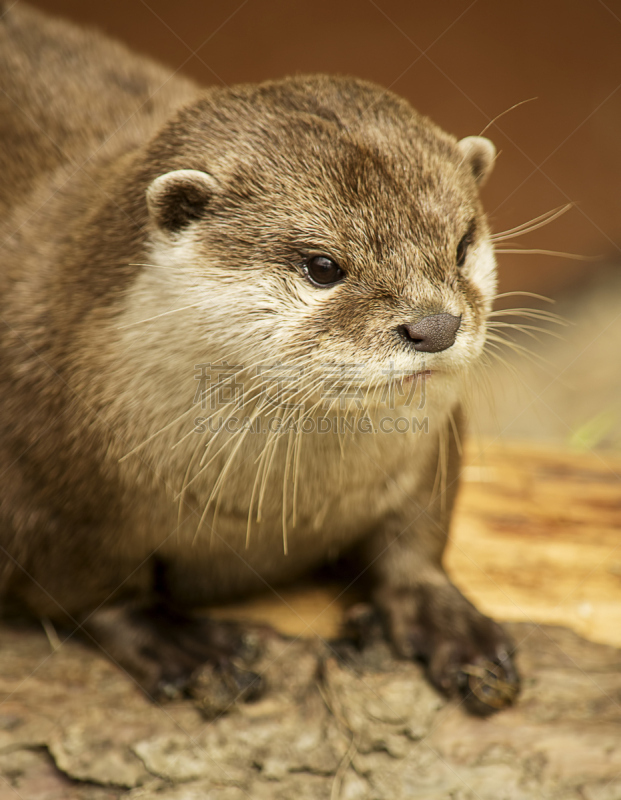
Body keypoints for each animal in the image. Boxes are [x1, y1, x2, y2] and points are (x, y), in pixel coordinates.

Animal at [1, 0, 520, 712]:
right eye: (323, 266)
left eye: (463, 243)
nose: (436, 326)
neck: (271, 512)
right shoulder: (46, 496)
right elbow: (89, 594)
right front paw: (185, 647)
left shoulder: (431, 444)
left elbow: (417, 539)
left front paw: (450, 623)